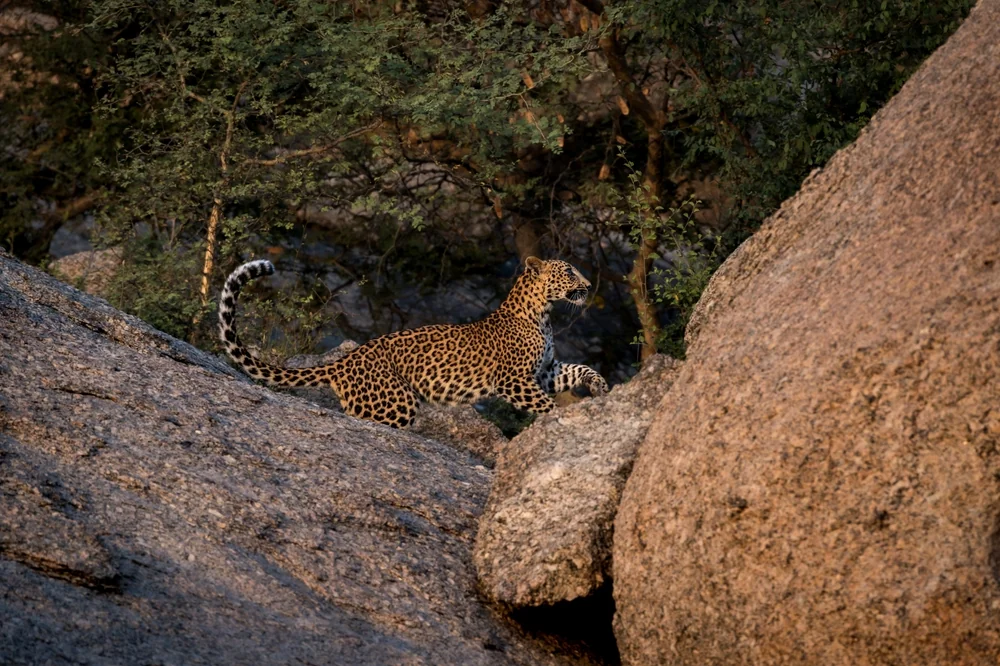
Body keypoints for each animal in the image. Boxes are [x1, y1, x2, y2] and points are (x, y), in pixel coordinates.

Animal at [218, 256, 609, 428]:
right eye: (569, 270)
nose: (590, 285)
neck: (543, 313)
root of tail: (344, 362)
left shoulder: (545, 372)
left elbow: (579, 368)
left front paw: (600, 387)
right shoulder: (515, 381)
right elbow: (547, 405)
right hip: (397, 401)